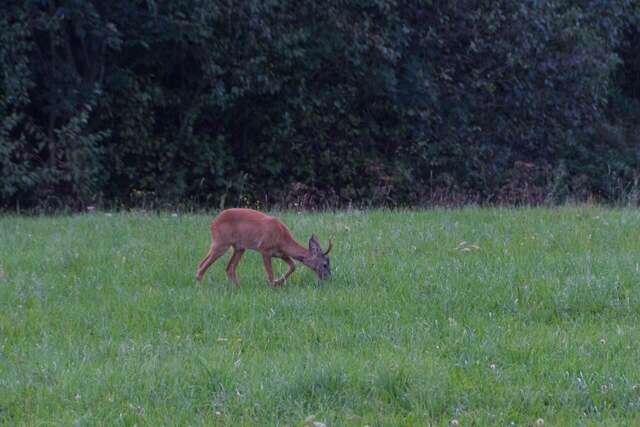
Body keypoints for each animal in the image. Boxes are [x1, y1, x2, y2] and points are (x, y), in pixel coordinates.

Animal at [195, 209, 336, 290]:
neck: (282, 239)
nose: (329, 277)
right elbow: (270, 273)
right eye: (325, 264)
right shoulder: (265, 249)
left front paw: (278, 282)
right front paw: (272, 286)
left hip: (239, 247)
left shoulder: (280, 253)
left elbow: (293, 265)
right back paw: (200, 287)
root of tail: (213, 223)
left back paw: (239, 288)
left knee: (229, 268)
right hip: (221, 242)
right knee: (202, 265)